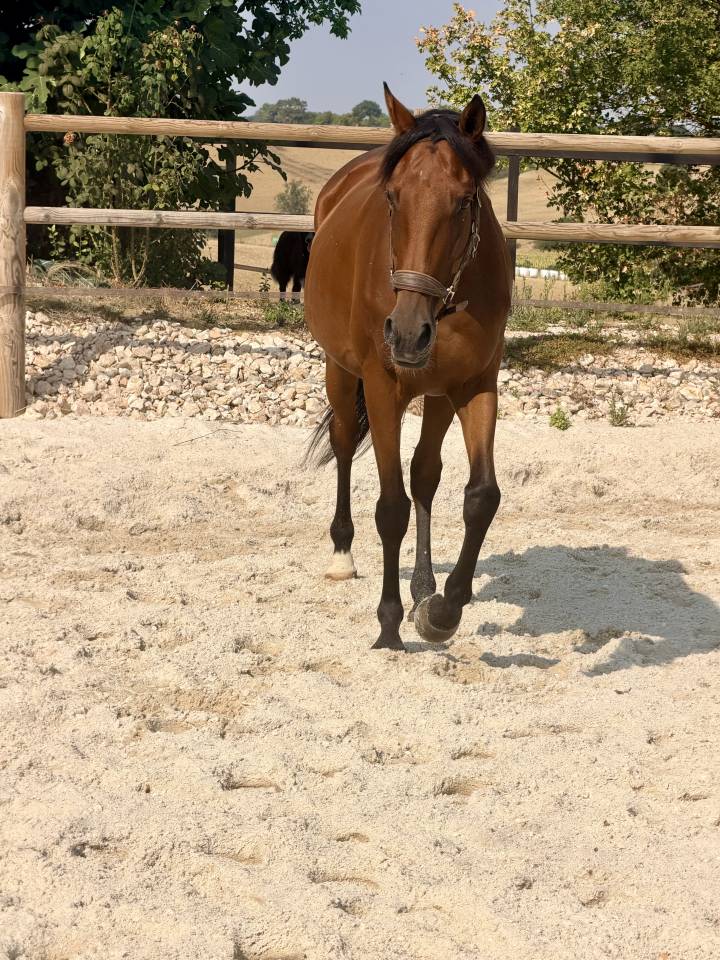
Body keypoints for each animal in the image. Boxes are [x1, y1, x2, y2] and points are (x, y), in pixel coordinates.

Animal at [304, 84, 511, 651]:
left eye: (464, 202)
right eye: (393, 198)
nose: (406, 332)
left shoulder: (475, 385)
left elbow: (480, 496)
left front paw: (442, 608)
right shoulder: (381, 388)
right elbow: (391, 508)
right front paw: (389, 624)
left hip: (437, 394)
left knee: (425, 474)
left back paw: (424, 587)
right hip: (340, 370)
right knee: (345, 442)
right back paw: (342, 554)